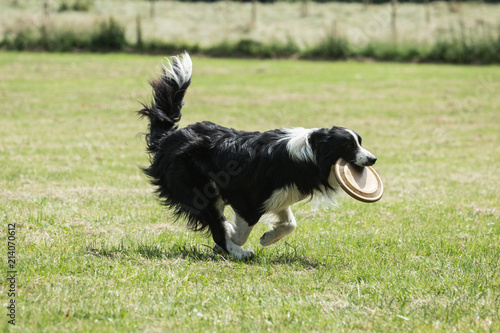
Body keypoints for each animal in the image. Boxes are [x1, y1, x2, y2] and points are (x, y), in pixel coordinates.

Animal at [139, 52, 376, 260]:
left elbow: (290, 223)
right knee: (215, 222)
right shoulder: (248, 199)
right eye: (348, 145)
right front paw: (230, 245)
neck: (310, 153)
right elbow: (241, 232)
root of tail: (168, 138)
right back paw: (238, 252)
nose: (373, 159)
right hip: (198, 188)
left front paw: (268, 237)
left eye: (360, 142)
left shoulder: (280, 194)